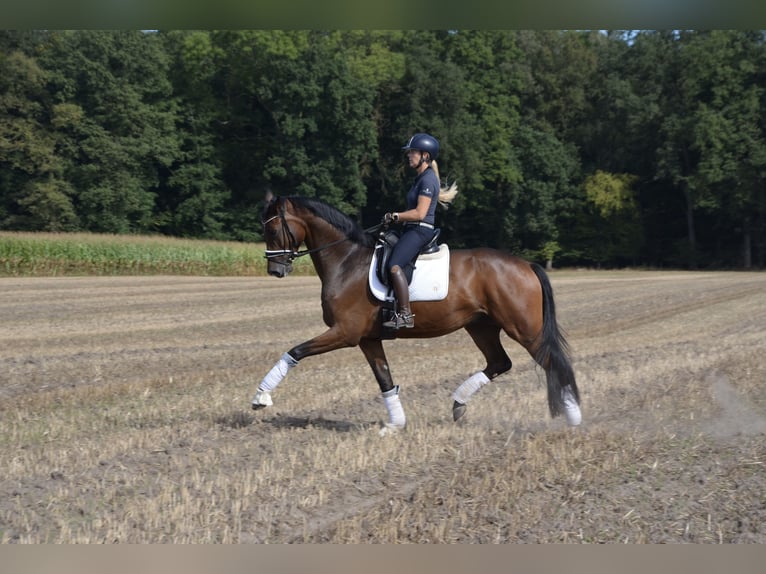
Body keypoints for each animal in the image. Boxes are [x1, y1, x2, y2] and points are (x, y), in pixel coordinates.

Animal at [252, 194, 581, 434]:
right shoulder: (367, 339)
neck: (347, 261)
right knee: (501, 362)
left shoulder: (345, 333)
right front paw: (395, 425)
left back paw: (574, 419)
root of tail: (527, 265)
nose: (275, 270)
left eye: (272, 229)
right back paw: (458, 404)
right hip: (481, 327)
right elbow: (385, 380)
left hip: (523, 328)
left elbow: (294, 351)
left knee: (554, 363)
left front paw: (260, 397)